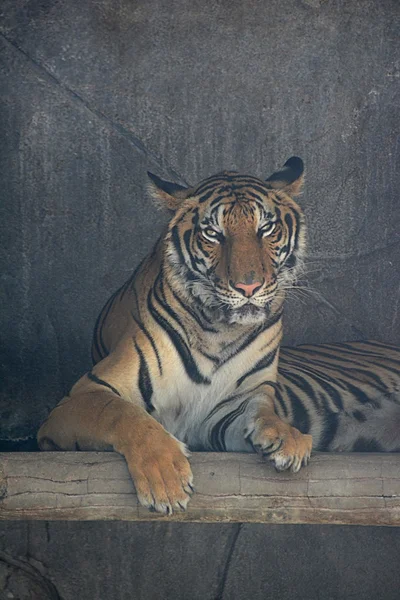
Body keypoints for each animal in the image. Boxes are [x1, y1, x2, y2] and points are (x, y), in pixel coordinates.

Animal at [37, 159, 400, 516]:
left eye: (265, 228)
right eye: (213, 233)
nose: (248, 287)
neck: (218, 331)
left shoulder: (227, 409)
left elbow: (263, 412)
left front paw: (289, 438)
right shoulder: (81, 396)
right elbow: (124, 414)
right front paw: (165, 478)